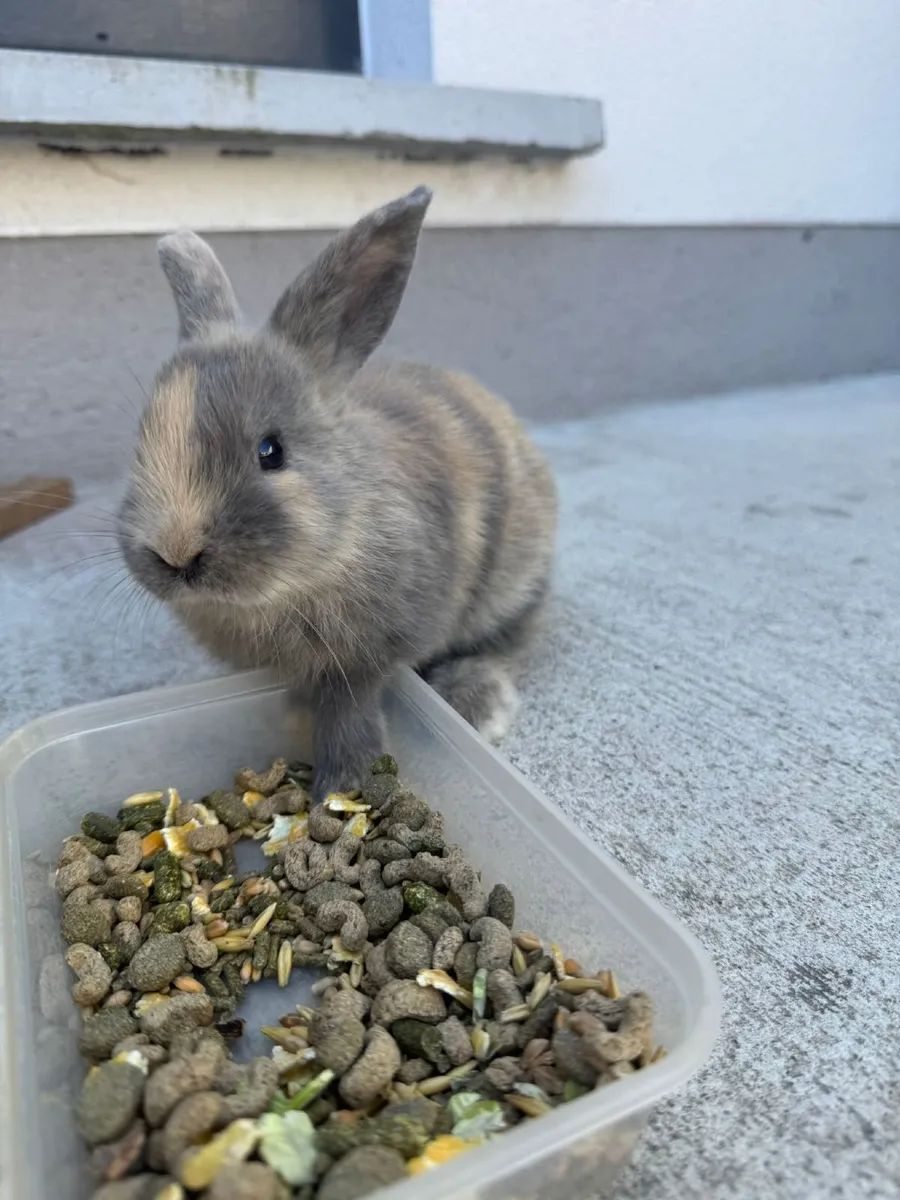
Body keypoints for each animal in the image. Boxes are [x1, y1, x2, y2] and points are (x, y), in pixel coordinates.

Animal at [118, 186, 557, 801]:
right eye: (140, 441)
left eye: (271, 451)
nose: (175, 553)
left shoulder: (371, 652)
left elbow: (349, 699)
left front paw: (344, 779)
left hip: (510, 585)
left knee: (505, 643)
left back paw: (475, 703)